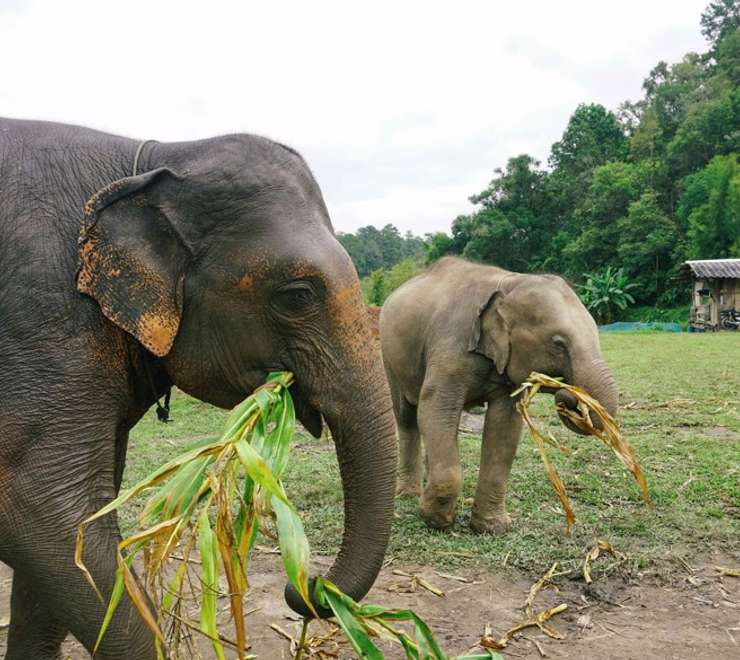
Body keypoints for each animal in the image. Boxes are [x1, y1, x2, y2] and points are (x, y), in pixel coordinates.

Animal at [379, 257, 618, 533]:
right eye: (558, 343)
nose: (567, 395)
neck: (508, 282)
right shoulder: (450, 345)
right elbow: (435, 408)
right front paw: (436, 521)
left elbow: (504, 426)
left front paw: (492, 527)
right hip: (390, 359)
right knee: (408, 416)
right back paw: (408, 494)